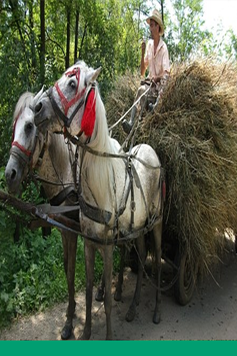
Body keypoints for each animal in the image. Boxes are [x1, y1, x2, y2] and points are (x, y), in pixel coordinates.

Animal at [4, 90, 78, 340]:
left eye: (29, 126)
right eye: (14, 127)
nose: (9, 174)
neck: (67, 174)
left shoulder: (74, 231)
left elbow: (74, 269)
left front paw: (69, 320)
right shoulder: (63, 229)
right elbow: (65, 266)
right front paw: (72, 312)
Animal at [33, 60, 164, 340]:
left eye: (72, 83)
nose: (36, 108)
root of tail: (151, 152)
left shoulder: (106, 245)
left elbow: (105, 300)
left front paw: (109, 334)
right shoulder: (89, 243)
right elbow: (90, 288)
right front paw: (85, 333)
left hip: (156, 223)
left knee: (157, 258)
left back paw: (157, 310)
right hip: (137, 228)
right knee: (142, 255)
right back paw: (133, 306)